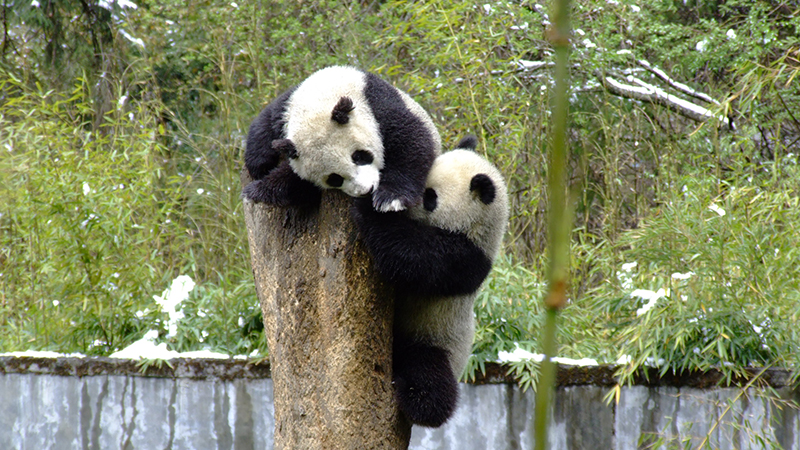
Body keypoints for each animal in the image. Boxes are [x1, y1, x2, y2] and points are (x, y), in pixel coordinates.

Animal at [243, 66, 441, 211]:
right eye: (334, 179)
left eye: (359, 156)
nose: (366, 190)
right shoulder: (286, 107)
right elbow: (263, 124)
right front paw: (258, 172)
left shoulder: (375, 102)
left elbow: (410, 139)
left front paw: (390, 198)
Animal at [350, 135, 509, 427]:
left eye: (430, 197)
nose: (406, 205)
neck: (478, 230)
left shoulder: (463, 258)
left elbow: (410, 256)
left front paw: (370, 205)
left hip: (435, 343)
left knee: (431, 382)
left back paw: (415, 398)